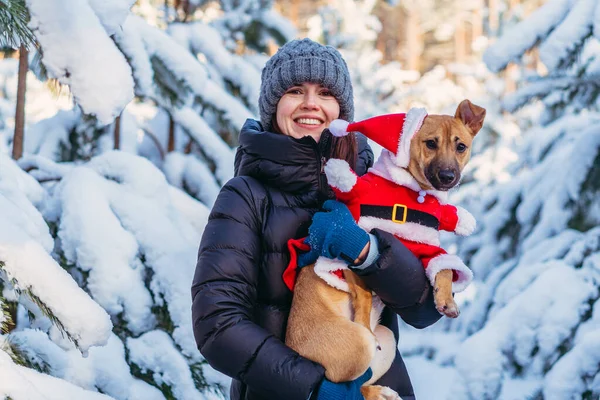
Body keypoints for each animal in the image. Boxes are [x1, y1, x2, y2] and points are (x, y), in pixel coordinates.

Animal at [284, 101, 486, 400]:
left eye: (461, 146)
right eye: (430, 143)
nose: (448, 177)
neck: (412, 193)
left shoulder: (424, 250)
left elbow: (445, 267)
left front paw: (446, 300)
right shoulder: (353, 249)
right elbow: (365, 294)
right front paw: (364, 313)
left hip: (388, 340)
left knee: (360, 383)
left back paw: (379, 391)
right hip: (359, 345)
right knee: (342, 379)